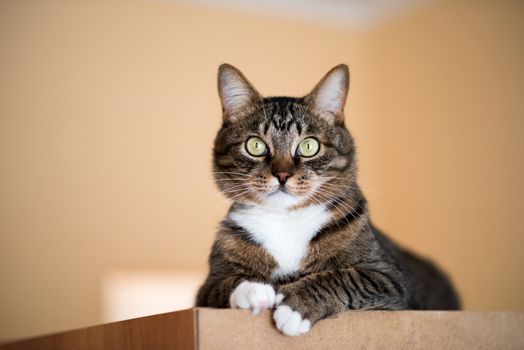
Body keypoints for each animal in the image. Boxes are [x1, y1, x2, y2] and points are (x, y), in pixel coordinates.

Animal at [195, 63, 458, 336]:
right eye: (255, 146)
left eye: (309, 146)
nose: (282, 175)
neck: (285, 220)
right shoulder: (205, 290)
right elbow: (221, 285)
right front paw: (251, 289)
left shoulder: (390, 279)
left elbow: (346, 277)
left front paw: (295, 306)